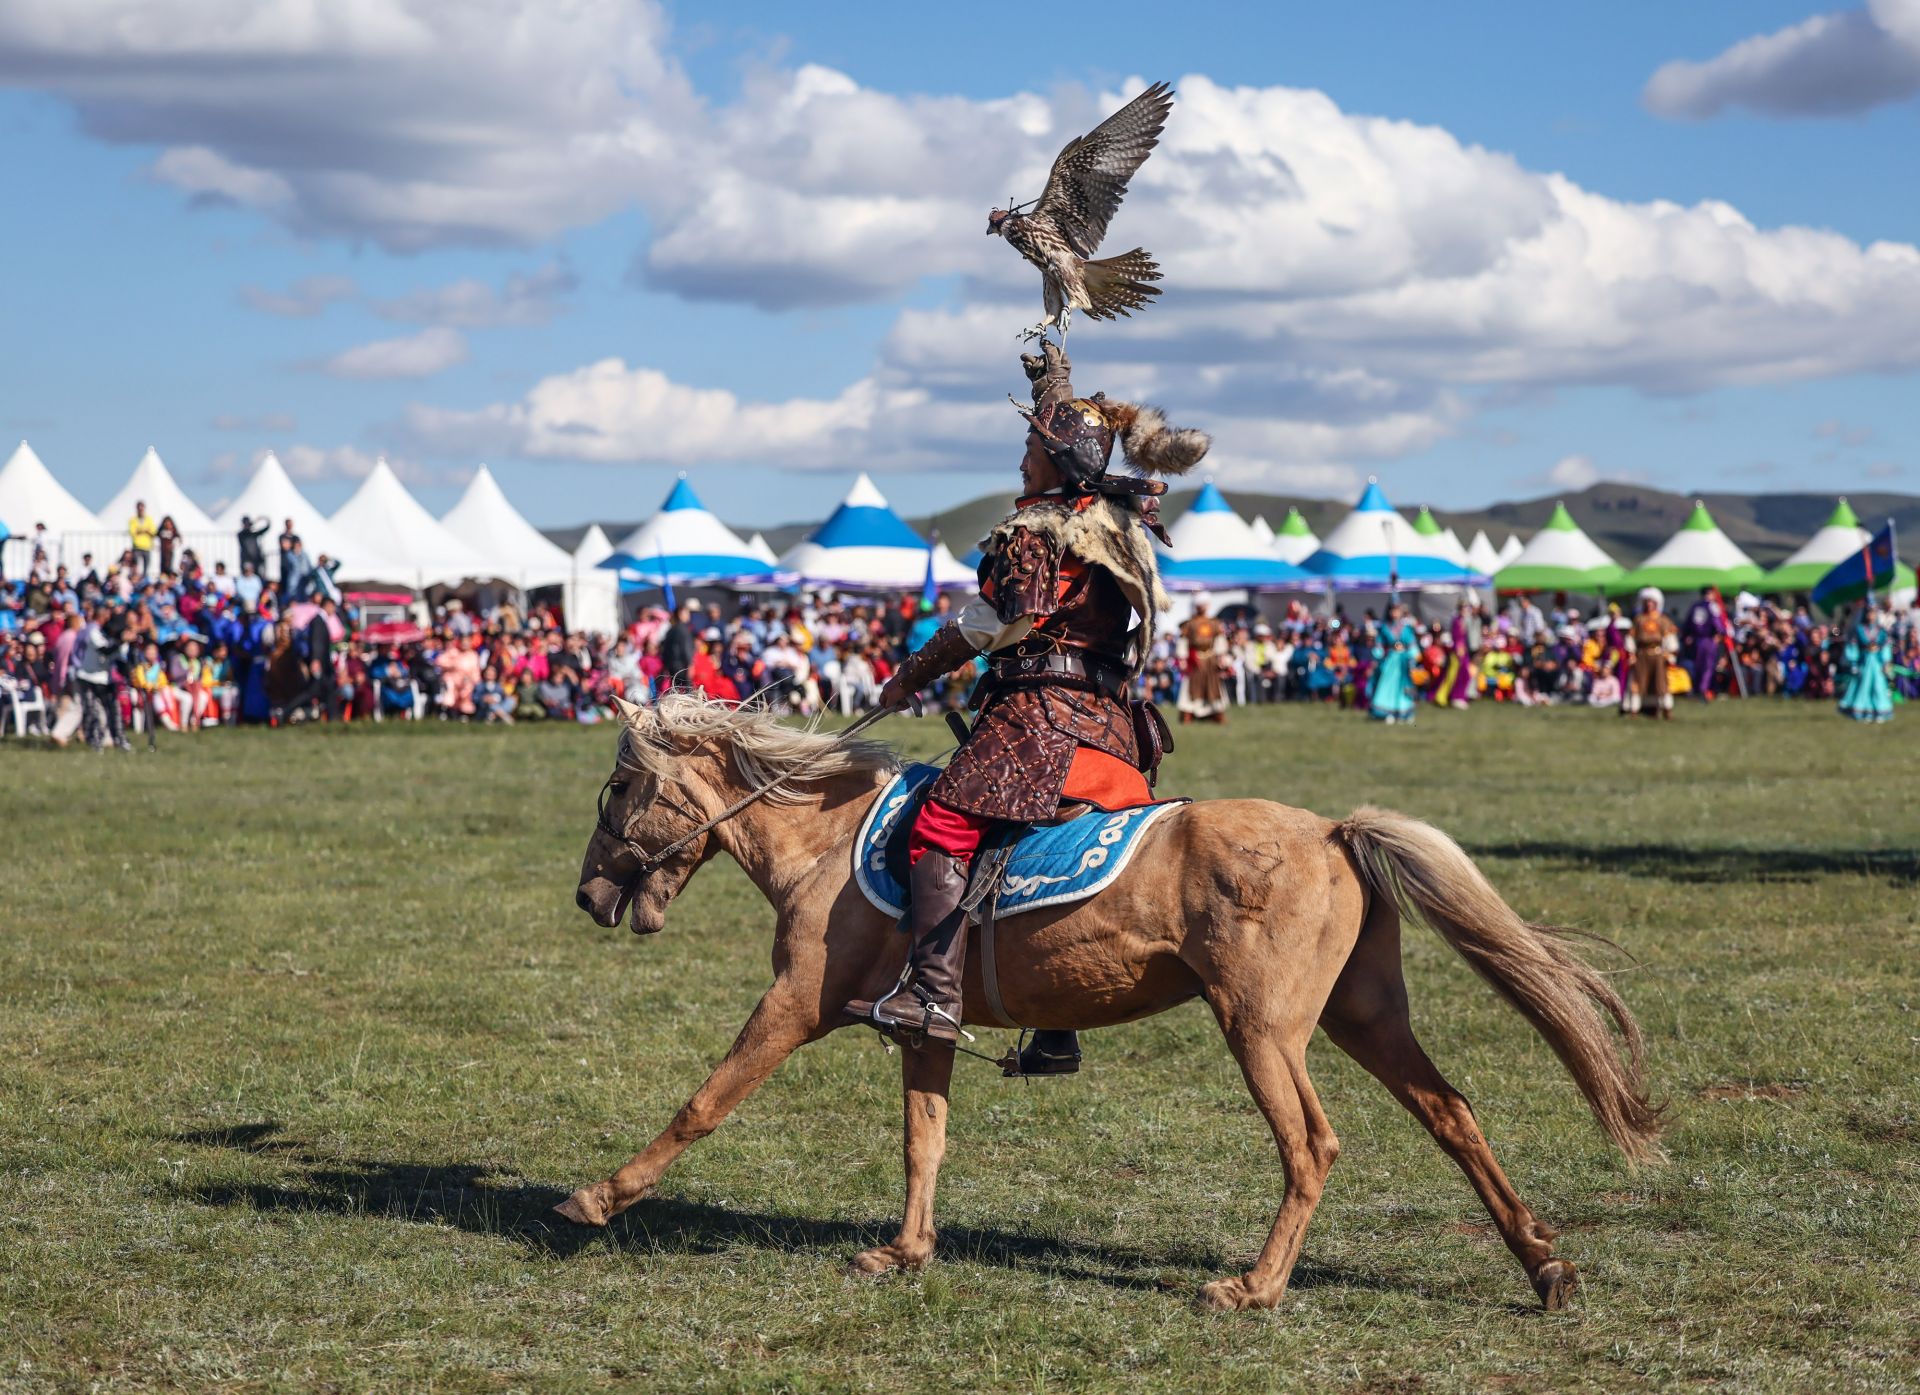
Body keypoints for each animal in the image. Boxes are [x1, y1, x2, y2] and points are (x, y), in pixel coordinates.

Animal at [560, 694, 1658, 1312]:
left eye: (617, 789)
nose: (589, 895)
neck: (827, 844)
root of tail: (1333, 831)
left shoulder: (794, 1002)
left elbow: (707, 1100)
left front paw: (599, 1197)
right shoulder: (926, 1023)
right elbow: (925, 1137)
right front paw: (907, 1252)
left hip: (1263, 1029)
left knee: (1311, 1145)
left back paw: (1255, 1288)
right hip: (1364, 1016)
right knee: (1452, 1114)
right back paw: (1544, 1266)